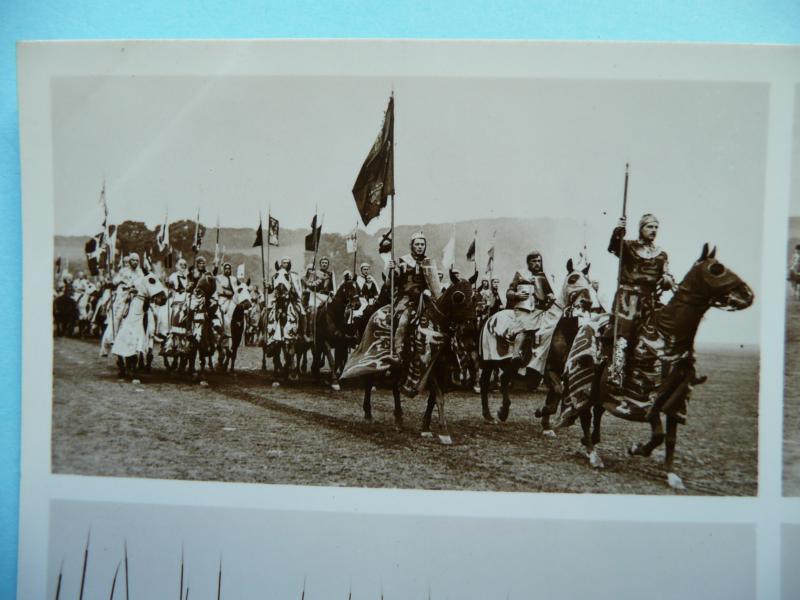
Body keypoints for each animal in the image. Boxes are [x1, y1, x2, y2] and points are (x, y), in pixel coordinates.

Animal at [342, 280, 477, 444]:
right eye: (458, 297)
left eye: (475, 297)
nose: (470, 328)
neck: (436, 326)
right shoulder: (428, 367)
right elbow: (438, 396)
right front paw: (443, 432)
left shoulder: (442, 368)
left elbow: (433, 398)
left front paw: (426, 427)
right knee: (370, 381)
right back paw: (370, 413)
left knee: (393, 386)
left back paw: (398, 418)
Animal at [478, 259, 600, 434]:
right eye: (572, 279)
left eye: (589, 281)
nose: (589, 303)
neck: (560, 330)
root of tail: (491, 317)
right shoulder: (547, 370)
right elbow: (558, 392)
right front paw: (541, 412)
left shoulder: (558, 371)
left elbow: (555, 396)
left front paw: (546, 424)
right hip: (489, 362)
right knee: (484, 383)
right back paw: (489, 416)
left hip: (509, 365)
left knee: (504, 379)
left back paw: (503, 411)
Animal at [555, 244, 754, 489]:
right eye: (716, 269)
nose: (747, 294)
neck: (667, 335)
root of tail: (587, 323)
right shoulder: (646, 398)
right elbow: (658, 435)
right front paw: (637, 449)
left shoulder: (675, 400)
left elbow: (671, 439)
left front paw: (671, 474)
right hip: (582, 383)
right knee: (584, 415)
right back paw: (593, 455)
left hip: (599, 391)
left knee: (597, 413)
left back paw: (591, 442)